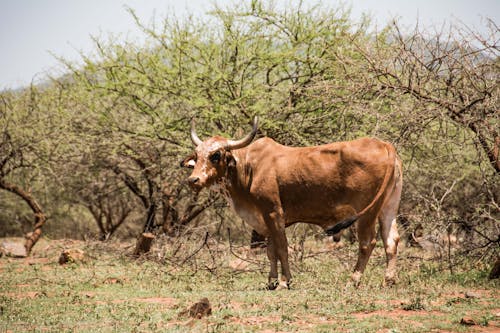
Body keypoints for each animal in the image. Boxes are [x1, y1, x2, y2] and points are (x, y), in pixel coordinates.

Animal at [183, 116, 402, 288]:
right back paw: (389, 280)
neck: (249, 167)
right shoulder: (265, 219)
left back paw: (353, 279)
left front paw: (283, 281)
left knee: (367, 242)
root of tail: (385, 145)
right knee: (391, 240)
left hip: (367, 213)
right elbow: (271, 251)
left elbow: (281, 248)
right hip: (388, 208)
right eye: (197, 155)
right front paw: (271, 280)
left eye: (216, 155)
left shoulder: (273, 213)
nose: (193, 180)